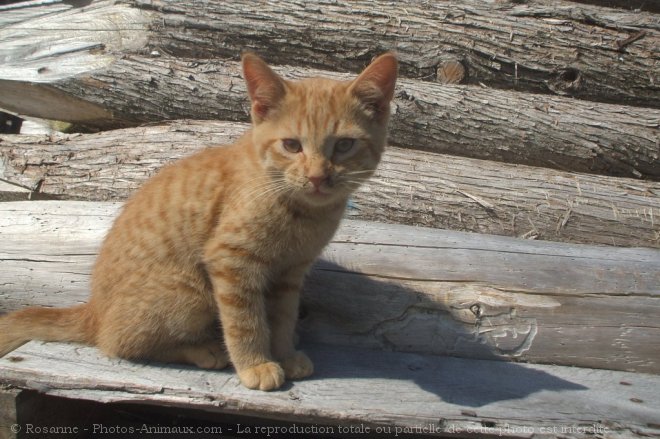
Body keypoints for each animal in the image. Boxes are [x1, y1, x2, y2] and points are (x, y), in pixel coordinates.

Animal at [0, 52, 398, 392]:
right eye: (291, 145)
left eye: (344, 145)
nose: (317, 177)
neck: (301, 212)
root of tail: (92, 310)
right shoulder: (231, 260)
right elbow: (245, 322)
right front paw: (255, 364)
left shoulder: (289, 275)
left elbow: (282, 318)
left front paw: (284, 352)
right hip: (191, 292)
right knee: (116, 344)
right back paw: (206, 350)